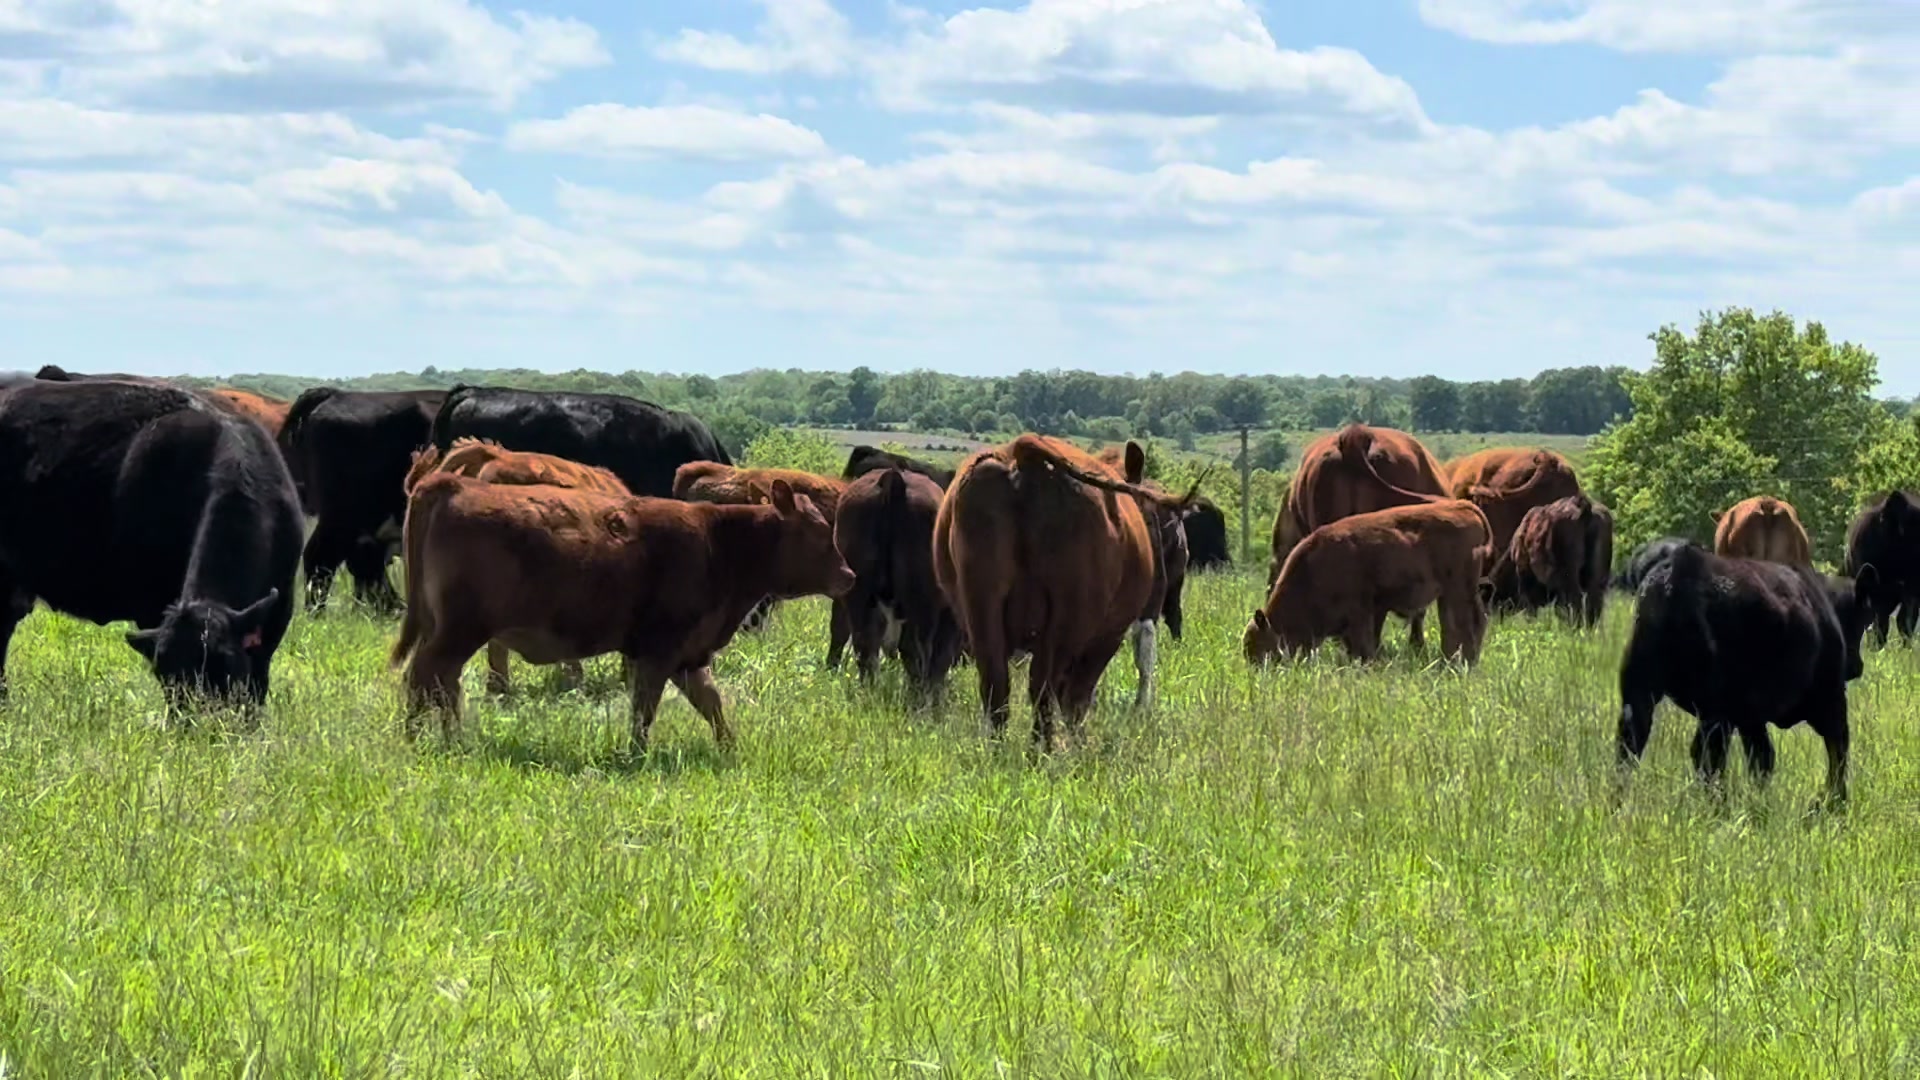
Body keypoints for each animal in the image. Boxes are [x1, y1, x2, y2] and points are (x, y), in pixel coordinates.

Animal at [389, 475, 854, 751]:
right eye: (818, 533)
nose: (849, 576)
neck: (719, 543)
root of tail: (454, 484)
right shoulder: (659, 651)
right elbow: (644, 708)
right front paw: (637, 754)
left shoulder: (687, 654)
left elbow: (710, 701)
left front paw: (729, 746)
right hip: (459, 630)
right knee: (423, 676)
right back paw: (413, 739)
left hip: (451, 631)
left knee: (443, 683)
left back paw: (451, 738)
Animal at [832, 467, 965, 700]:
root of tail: (893, 480)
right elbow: (941, 657)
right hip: (920, 604)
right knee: (915, 650)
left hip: (859, 594)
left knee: (865, 642)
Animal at [933, 436, 1198, 751]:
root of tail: (1021, 453)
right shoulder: (1109, 634)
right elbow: (1078, 695)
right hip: (1068, 617)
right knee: (1046, 688)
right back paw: (1045, 752)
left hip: (981, 608)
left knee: (996, 685)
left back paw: (1000, 752)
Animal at [1243, 500, 1494, 666]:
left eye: (1261, 645)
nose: (1257, 669)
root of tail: (1463, 507)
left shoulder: (1360, 612)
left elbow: (1363, 644)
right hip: (1452, 593)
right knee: (1461, 623)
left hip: (1458, 589)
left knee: (1465, 623)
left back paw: (1461, 662)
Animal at [1616, 544, 1874, 810]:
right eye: (1862, 620)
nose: (1857, 666)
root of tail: (1675, 574)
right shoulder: (1830, 698)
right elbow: (1838, 752)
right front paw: (1833, 803)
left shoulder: (1751, 718)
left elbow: (1762, 759)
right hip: (1715, 710)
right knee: (1708, 757)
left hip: (1640, 694)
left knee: (1630, 747)